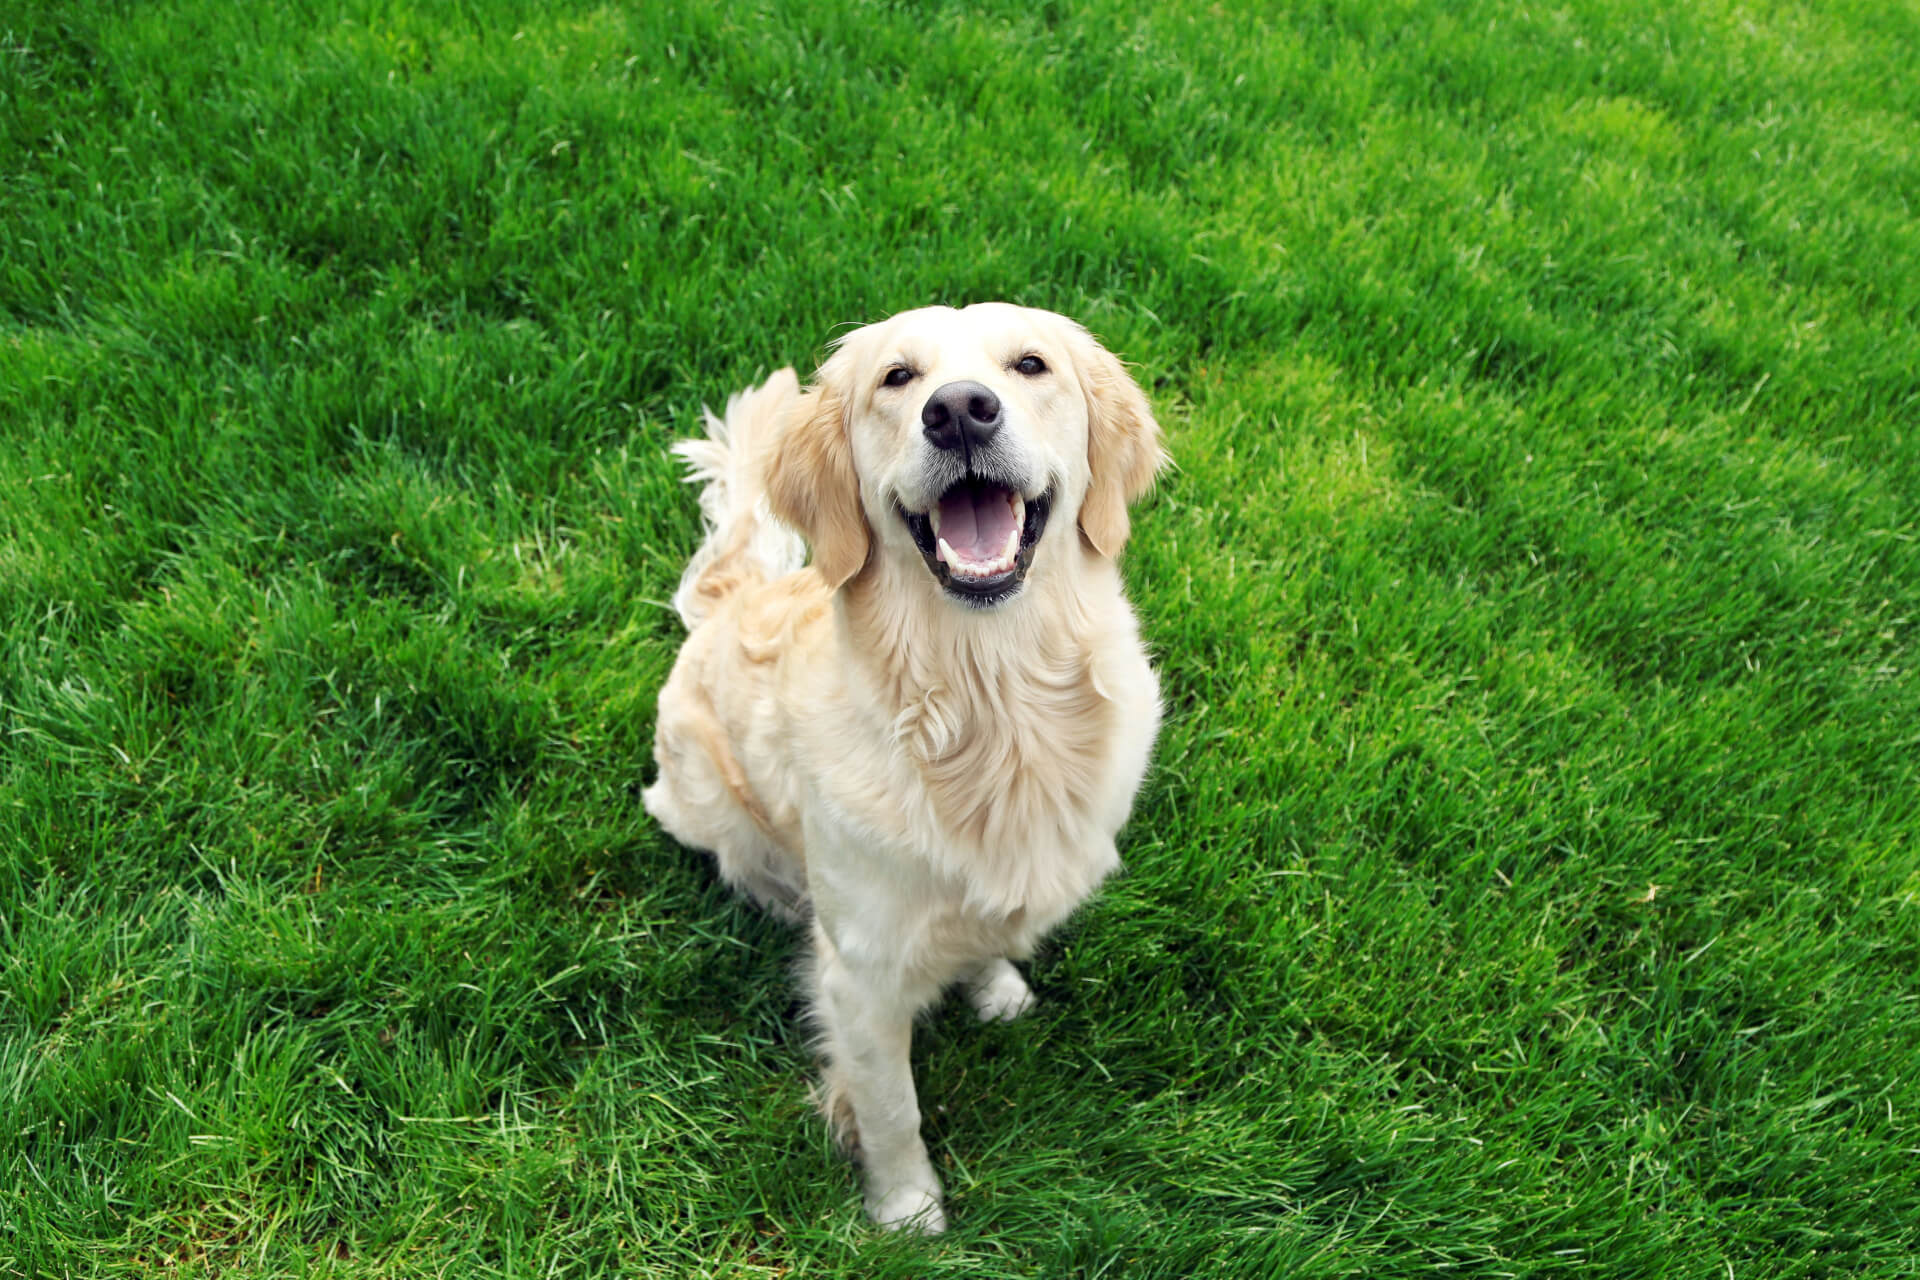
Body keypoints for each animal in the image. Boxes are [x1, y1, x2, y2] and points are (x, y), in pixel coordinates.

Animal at [641, 303, 1167, 1228]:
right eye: (897, 378)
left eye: (1030, 364)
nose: (958, 411)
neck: (991, 708)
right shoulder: (860, 977)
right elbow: (891, 1106)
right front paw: (907, 1211)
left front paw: (995, 985)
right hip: (702, 800)